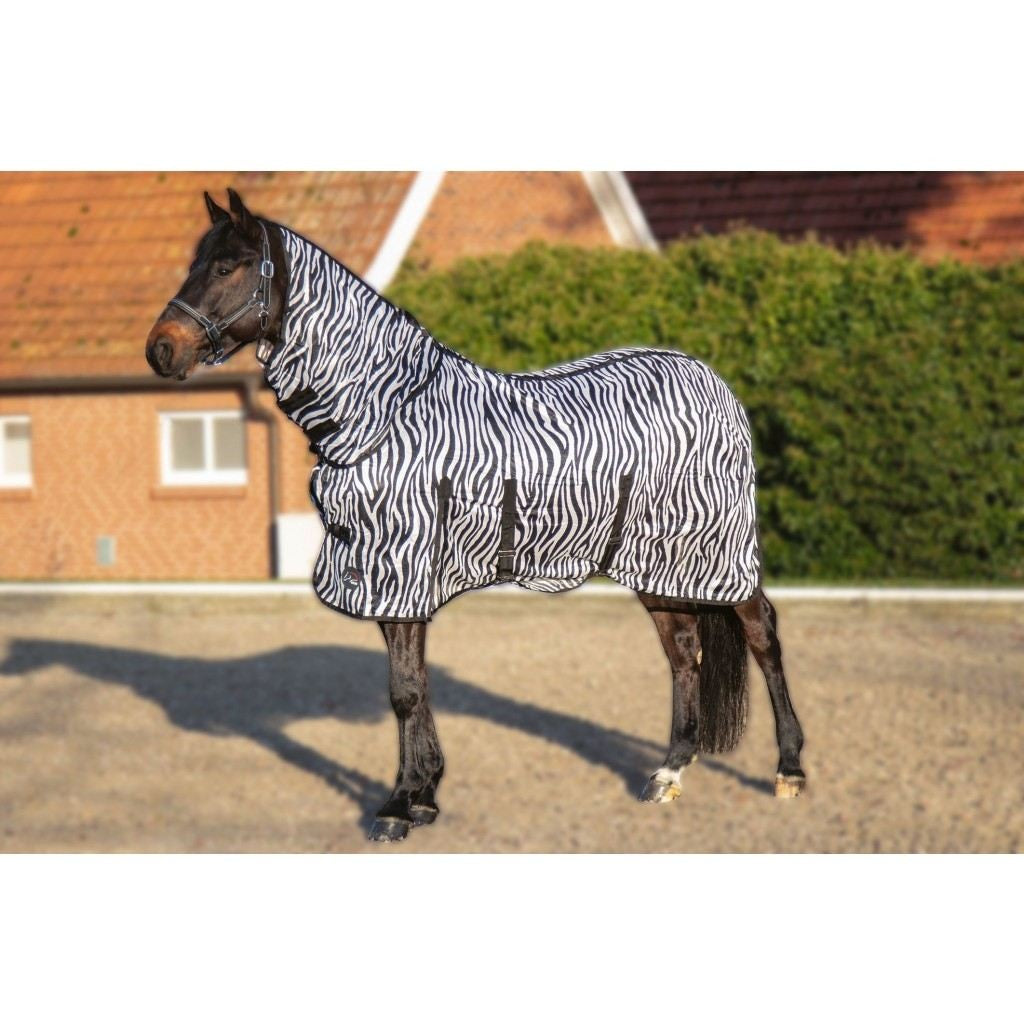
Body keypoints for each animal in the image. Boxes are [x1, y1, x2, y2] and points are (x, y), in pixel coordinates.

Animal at [146, 189, 806, 842]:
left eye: (227, 267)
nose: (160, 349)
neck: (383, 413)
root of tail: (711, 379)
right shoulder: (388, 578)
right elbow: (413, 686)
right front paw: (425, 796)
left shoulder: (401, 567)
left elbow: (405, 692)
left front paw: (397, 807)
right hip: (657, 562)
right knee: (684, 652)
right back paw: (668, 773)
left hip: (718, 548)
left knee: (762, 634)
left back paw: (789, 770)